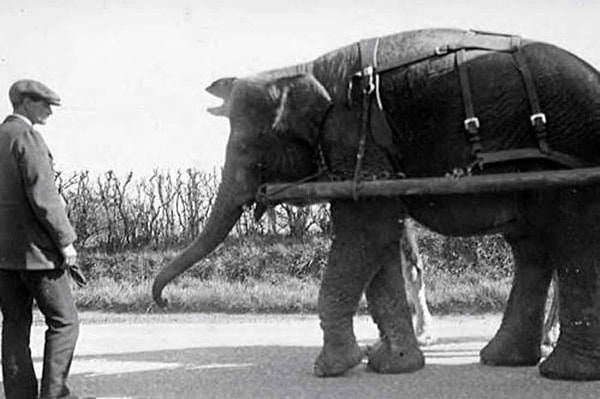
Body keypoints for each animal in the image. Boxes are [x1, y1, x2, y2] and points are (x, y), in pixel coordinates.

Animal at [151, 28, 600, 382]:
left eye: (246, 148)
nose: (163, 302)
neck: (303, 68)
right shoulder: (367, 165)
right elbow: (379, 240)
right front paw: (390, 364)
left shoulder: (352, 137)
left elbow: (366, 232)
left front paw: (331, 368)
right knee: (532, 246)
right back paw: (505, 359)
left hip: (570, 151)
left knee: (571, 237)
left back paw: (561, 372)